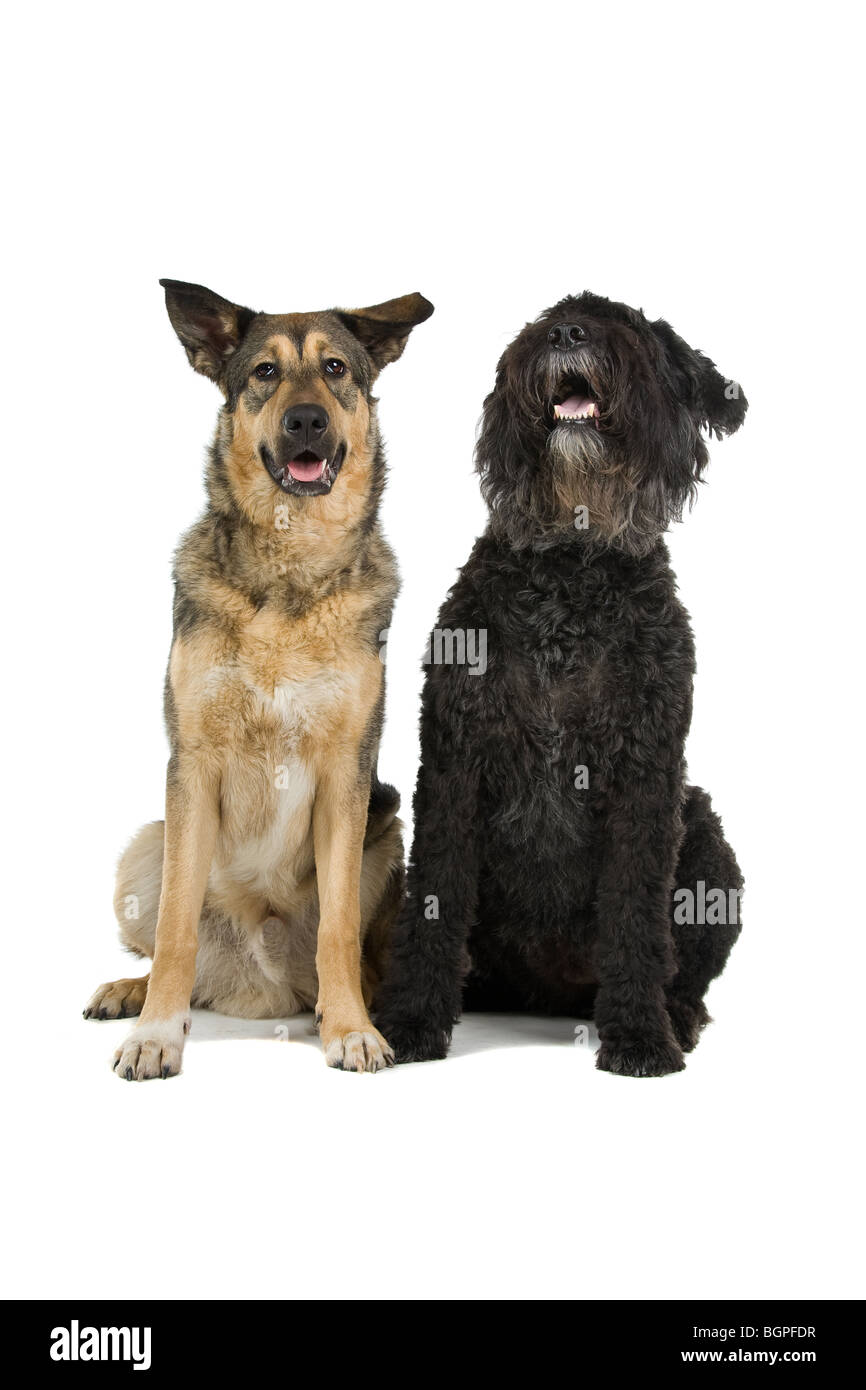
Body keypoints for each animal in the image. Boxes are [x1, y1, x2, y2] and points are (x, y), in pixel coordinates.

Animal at [86, 279, 430, 1073]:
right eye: (265, 372)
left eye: (335, 368)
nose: (306, 419)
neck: (290, 565)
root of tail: (255, 986)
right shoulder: (192, 767)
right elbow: (176, 929)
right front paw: (155, 1033)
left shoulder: (346, 776)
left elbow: (338, 928)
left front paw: (351, 1028)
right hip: (145, 846)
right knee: (173, 941)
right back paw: (131, 992)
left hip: (385, 829)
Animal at [375, 290, 750, 1073]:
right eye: (545, 320)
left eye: (631, 328)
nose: (567, 333)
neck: (573, 568)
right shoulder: (454, 765)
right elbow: (436, 897)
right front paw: (414, 1020)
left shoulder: (648, 776)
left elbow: (637, 911)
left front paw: (638, 1035)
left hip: (705, 834)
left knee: (687, 970)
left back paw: (673, 1014)